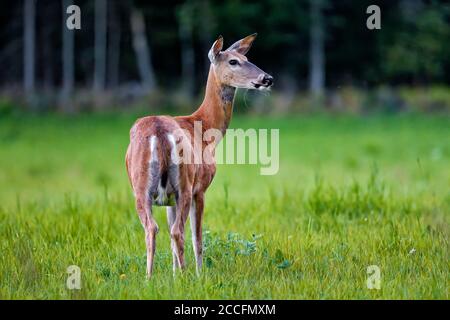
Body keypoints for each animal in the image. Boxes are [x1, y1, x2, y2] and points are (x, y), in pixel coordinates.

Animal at [126, 33, 274, 278]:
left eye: (247, 58)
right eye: (233, 61)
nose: (267, 78)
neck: (205, 129)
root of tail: (159, 131)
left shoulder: (167, 198)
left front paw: (174, 275)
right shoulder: (201, 188)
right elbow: (198, 238)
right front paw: (198, 274)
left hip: (141, 187)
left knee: (153, 228)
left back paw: (149, 278)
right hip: (185, 185)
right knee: (178, 231)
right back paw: (187, 276)